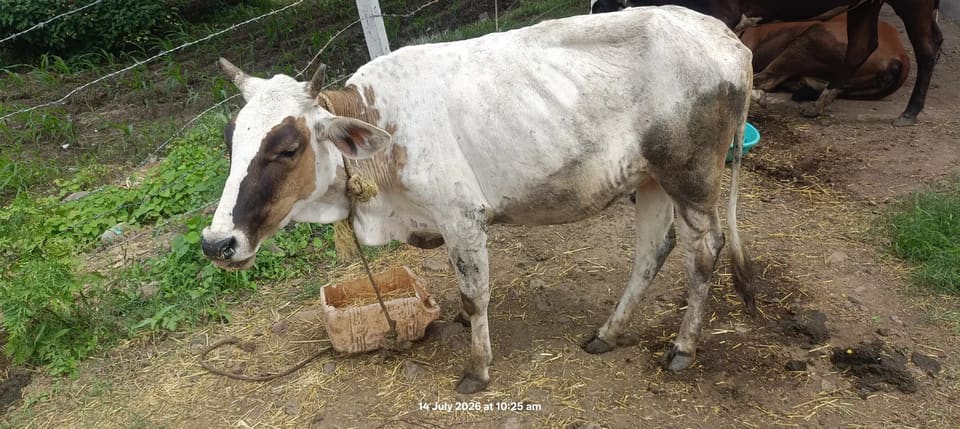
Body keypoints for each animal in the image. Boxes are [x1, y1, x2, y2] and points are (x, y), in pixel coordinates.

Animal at [201, 6, 755, 393]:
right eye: (230, 140)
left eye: (287, 148)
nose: (216, 243)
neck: (385, 129)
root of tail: (728, 40)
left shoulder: (462, 217)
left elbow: (473, 291)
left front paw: (477, 367)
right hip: (650, 180)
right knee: (651, 252)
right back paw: (608, 333)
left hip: (690, 178)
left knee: (704, 251)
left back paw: (682, 348)